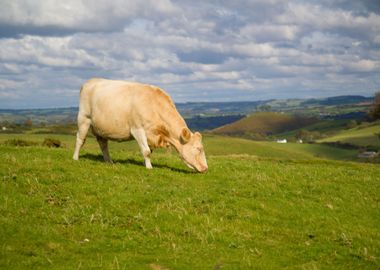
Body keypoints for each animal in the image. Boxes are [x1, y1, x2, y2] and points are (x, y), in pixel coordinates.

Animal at [72, 78, 209, 173]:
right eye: (198, 149)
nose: (205, 168)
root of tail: (91, 81)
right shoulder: (138, 129)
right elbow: (147, 151)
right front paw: (149, 167)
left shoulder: (151, 135)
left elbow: (149, 151)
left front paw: (145, 164)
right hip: (84, 118)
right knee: (80, 139)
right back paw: (75, 158)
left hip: (102, 127)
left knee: (103, 145)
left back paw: (109, 161)